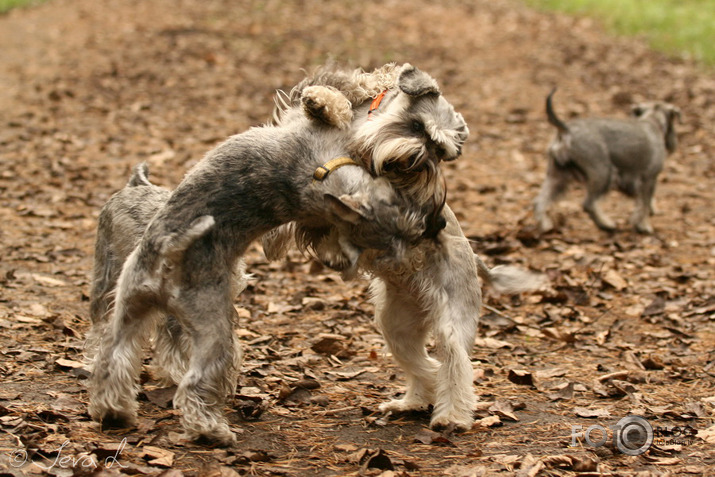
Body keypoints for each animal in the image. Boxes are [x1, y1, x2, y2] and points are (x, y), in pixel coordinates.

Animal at [86, 101, 440, 446]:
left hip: (134, 309)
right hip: (207, 330)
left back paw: (116, 413)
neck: (318, 177)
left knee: (115, 361)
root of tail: (168, 250)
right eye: (401, 212)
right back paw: (209, 431)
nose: (435, 225)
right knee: (191, 383)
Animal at [262, 61, 544, 430]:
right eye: (417, 126)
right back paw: (411, 403)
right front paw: (322, 102)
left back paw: (452, 416)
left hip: (452, 321)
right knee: (426, 368)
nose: (415, 165)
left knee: (456, 368)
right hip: (397, 327)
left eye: (440, 150)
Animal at [536, 89, 684, 234]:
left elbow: (641, 202)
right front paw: (643, 226)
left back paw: (545, 226)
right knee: (589, 204)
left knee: (540, 202)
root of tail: (566, 130)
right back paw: (606, 224)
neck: (653, 121)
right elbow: (644, 204)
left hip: (558, 176)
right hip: (603, 174)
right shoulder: (649, 178)